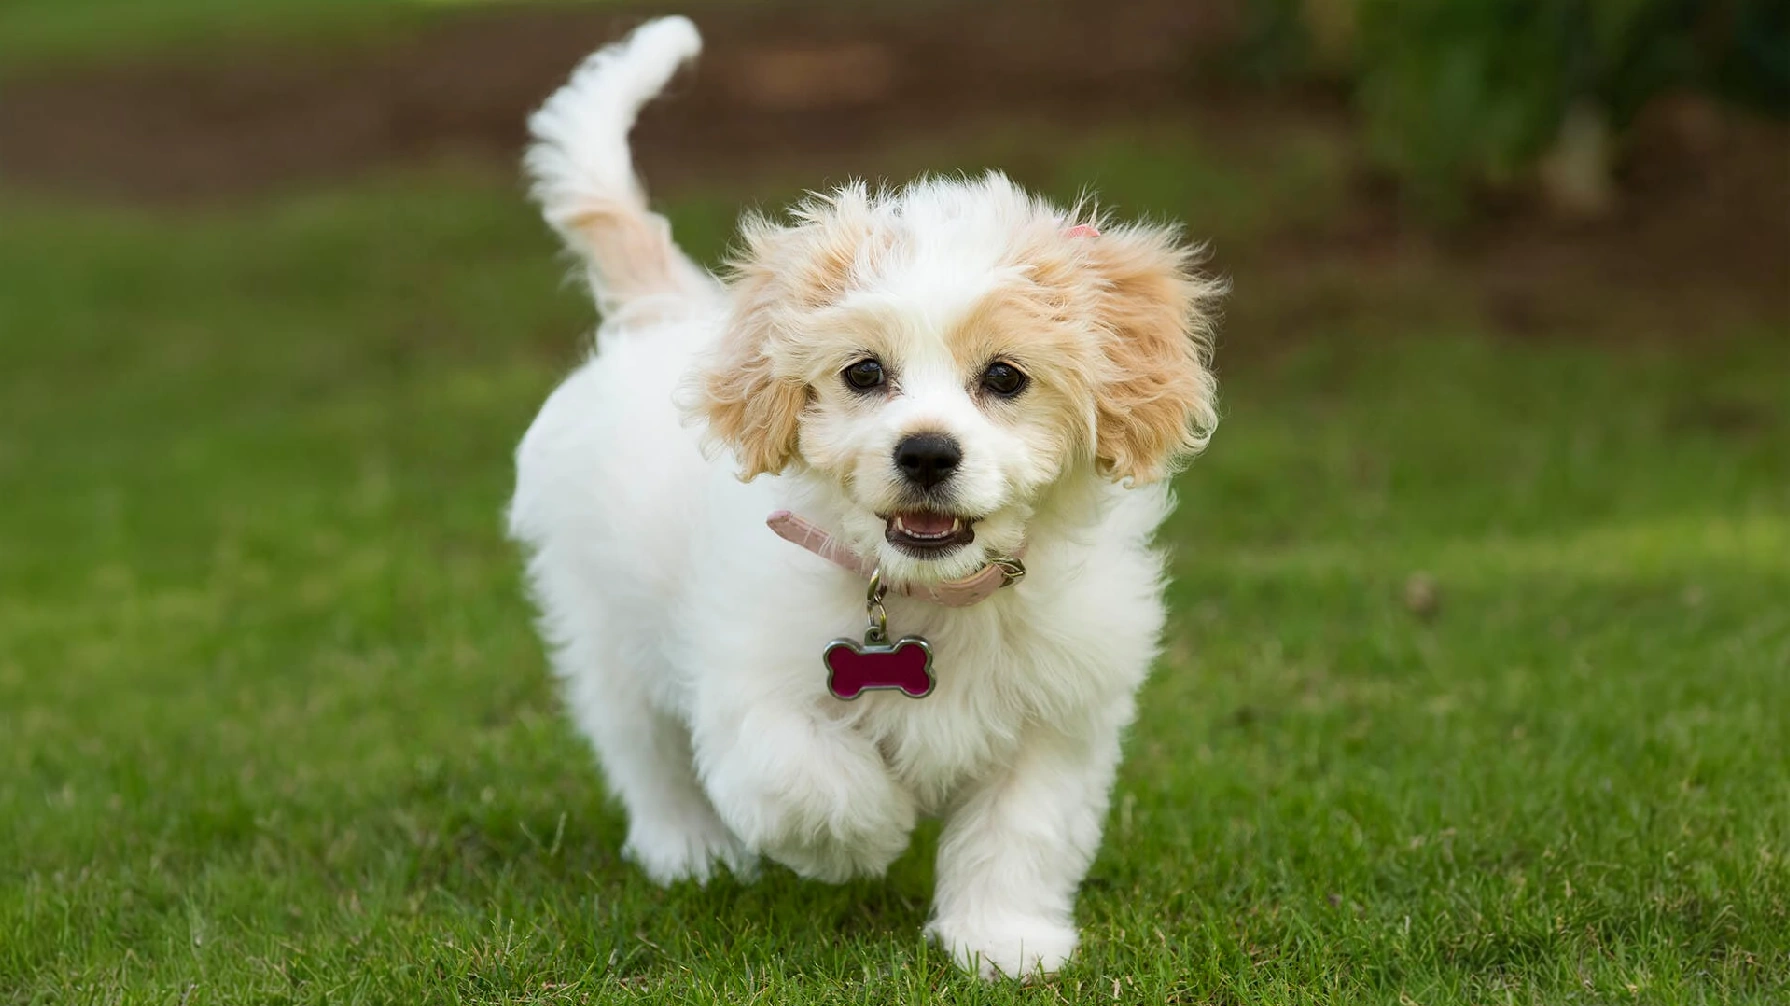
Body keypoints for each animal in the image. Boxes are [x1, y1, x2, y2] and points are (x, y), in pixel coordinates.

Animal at [511, 15, 1224, 980]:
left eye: (1005, 377)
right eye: (863, 373)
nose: (925, 452)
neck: (931, 595)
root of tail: (667, 312)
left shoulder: (1059, 716)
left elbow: (1021, 831)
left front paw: (1002, 941)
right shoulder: (750, 685)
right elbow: (806, 779)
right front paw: (871, 835)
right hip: (604, 626)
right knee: (643, 749)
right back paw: (687, 850)